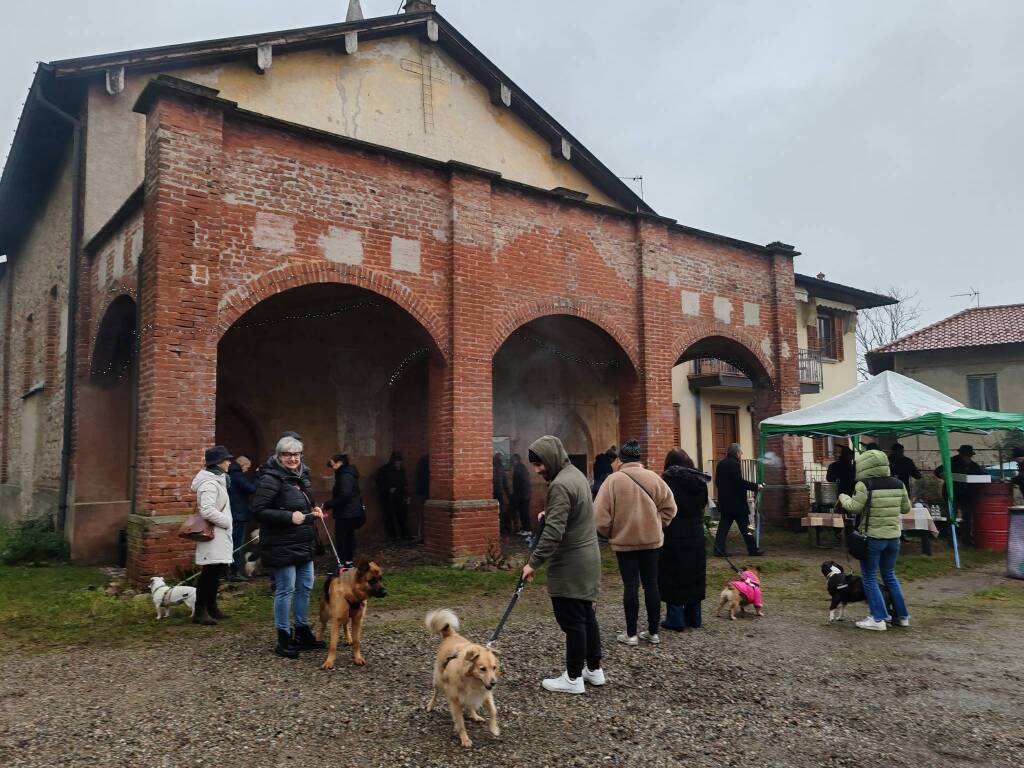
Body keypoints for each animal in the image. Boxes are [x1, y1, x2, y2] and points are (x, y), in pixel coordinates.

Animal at [425, 610, 501, 749]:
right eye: (482, 669)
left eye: (494, 667)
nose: (494, 683)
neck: (471, 680)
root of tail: (450, 634)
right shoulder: (455, 700)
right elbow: (460, 722)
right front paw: (465, 739)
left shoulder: (484, 693)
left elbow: (493, 711)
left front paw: (494, 728)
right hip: (438, 681)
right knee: (435, 693)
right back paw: (430, 706)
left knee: (470, 705)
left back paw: (475, 716)